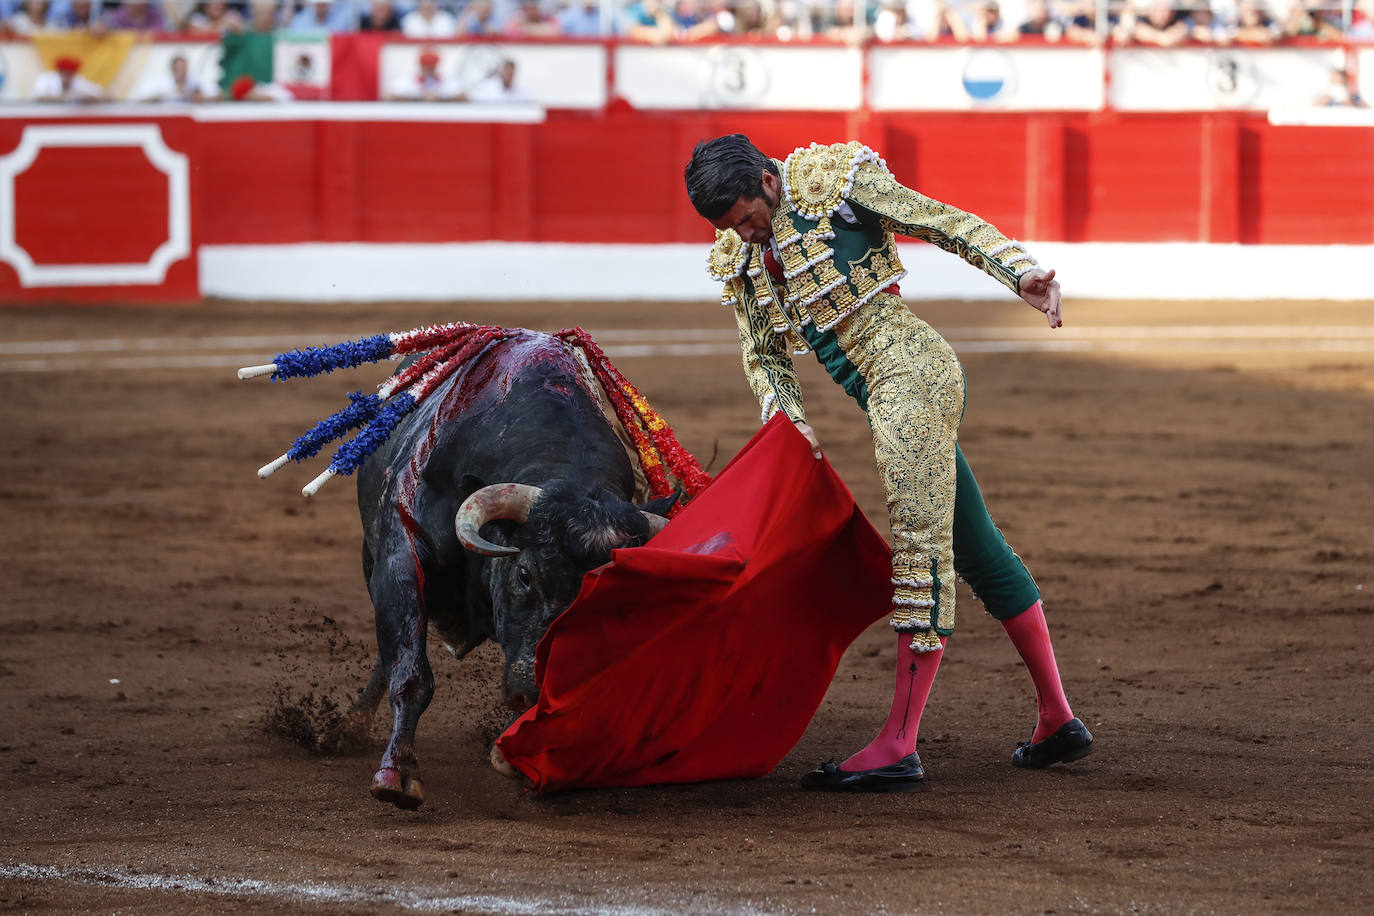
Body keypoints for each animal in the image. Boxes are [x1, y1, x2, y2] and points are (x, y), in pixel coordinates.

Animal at [346, 329, 673, 807]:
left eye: (611, 595)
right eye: (524, 574)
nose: (533, 692)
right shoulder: (400, 556)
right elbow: (410, 670)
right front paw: (397, 774)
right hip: (372, 560)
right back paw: (349, 727)